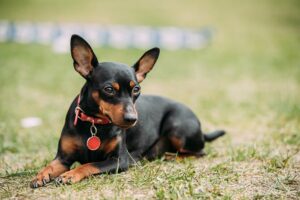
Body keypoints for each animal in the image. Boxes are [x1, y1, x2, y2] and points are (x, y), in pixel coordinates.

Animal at [29, 33, 225, 188]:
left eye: (136, 89)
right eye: (109, 89)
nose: (132, 119)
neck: (94, 123)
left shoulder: (119, 160)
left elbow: (90, 165)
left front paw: (70, 174)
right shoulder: (62, 158)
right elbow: (51, 165)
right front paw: (41, 175)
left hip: (177, 128)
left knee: (199, 153)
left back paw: (170, 156)